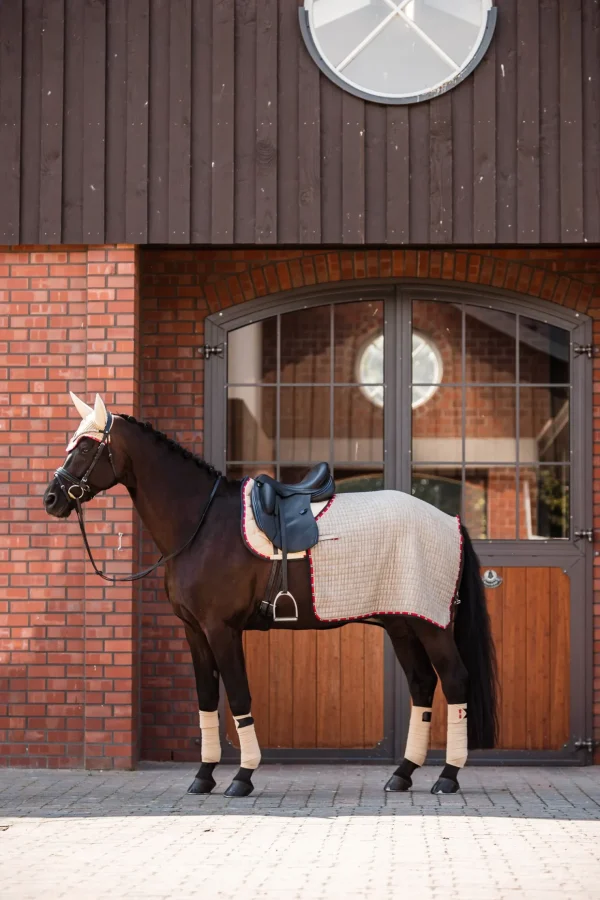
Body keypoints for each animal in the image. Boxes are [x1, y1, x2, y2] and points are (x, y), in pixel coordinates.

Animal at [43, 392, 496, 796]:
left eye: (86, 447)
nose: (51, 498)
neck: (203, 524)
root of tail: (450, 521)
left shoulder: (222, 630)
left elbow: (238, 696)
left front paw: (242, 777)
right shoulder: (194, 632)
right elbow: (207, 700)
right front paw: (203, 777)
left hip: (432, 625)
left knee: (455, 680)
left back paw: (447, 777)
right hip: (403, 624)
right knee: (422, 684)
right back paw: (402, 774)